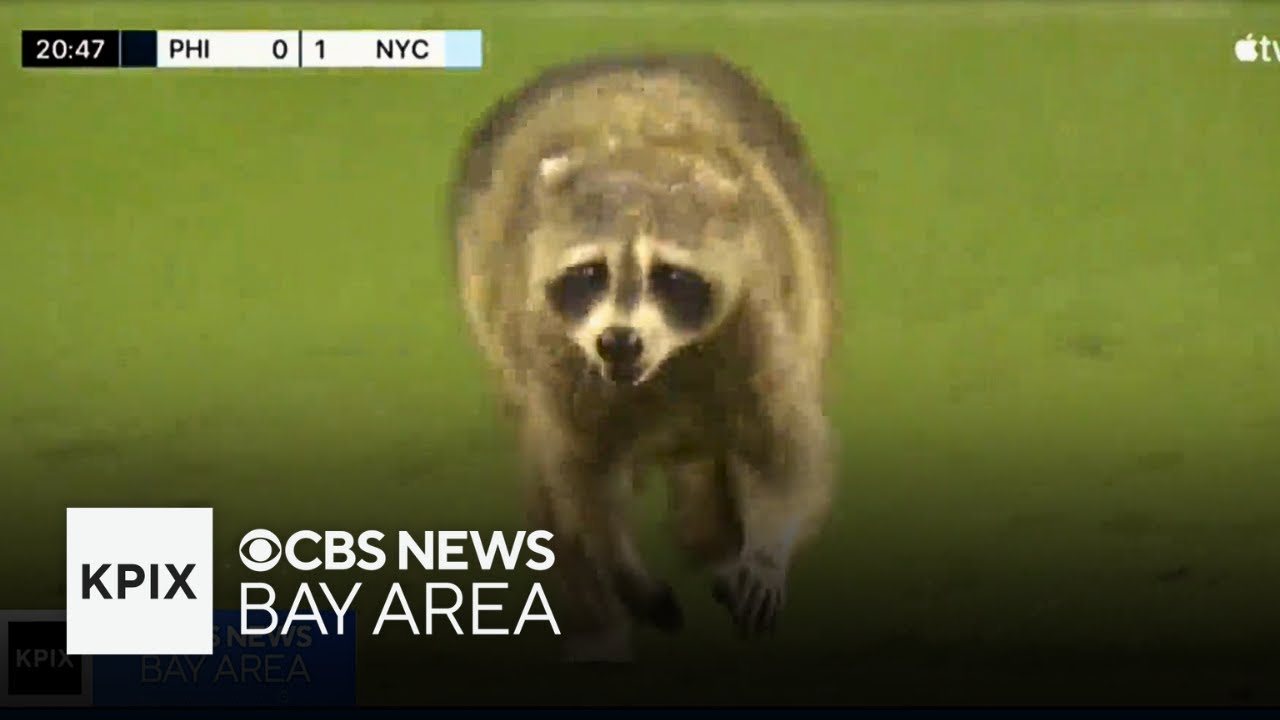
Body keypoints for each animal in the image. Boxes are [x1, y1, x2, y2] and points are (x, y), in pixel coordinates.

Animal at [450, 53, 838, 661]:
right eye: (590, 272)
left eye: (670, 276)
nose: (618, 340)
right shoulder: (553, 353)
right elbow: (580, 479)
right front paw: (621, 571)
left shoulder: (760, 325)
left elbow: (789, 456)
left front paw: (766, 554)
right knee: (547, 491)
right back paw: (597, 627)